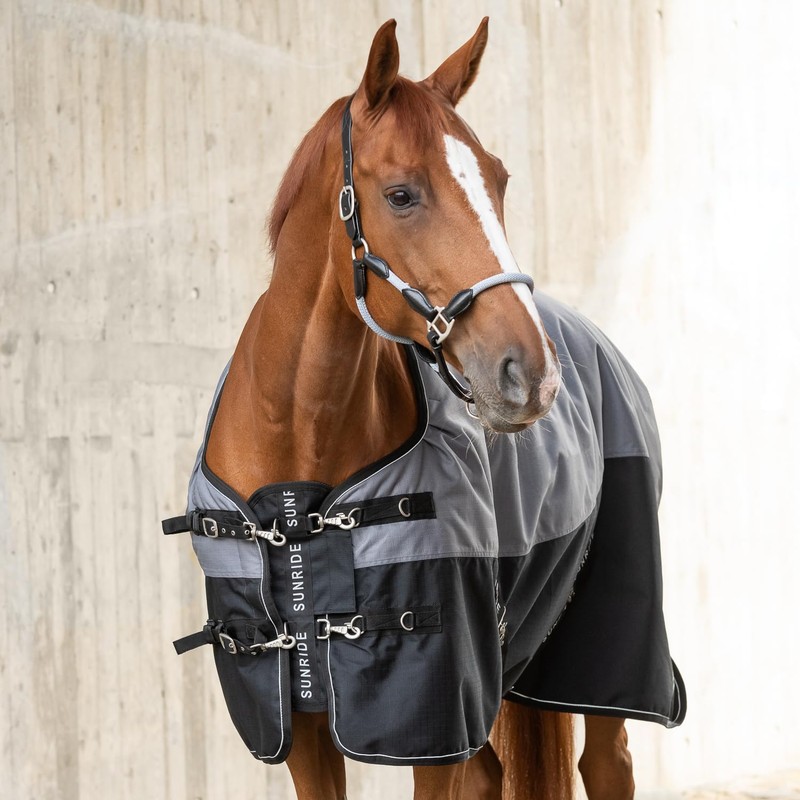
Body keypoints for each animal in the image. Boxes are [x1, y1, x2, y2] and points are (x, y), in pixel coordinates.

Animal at [163, 17, 685, 800]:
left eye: (499, 180)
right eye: (403, 194)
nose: (530, 374)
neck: (297, 466)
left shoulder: (431, 726)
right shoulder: (302, 727)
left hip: (601, 657)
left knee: (606, 763)